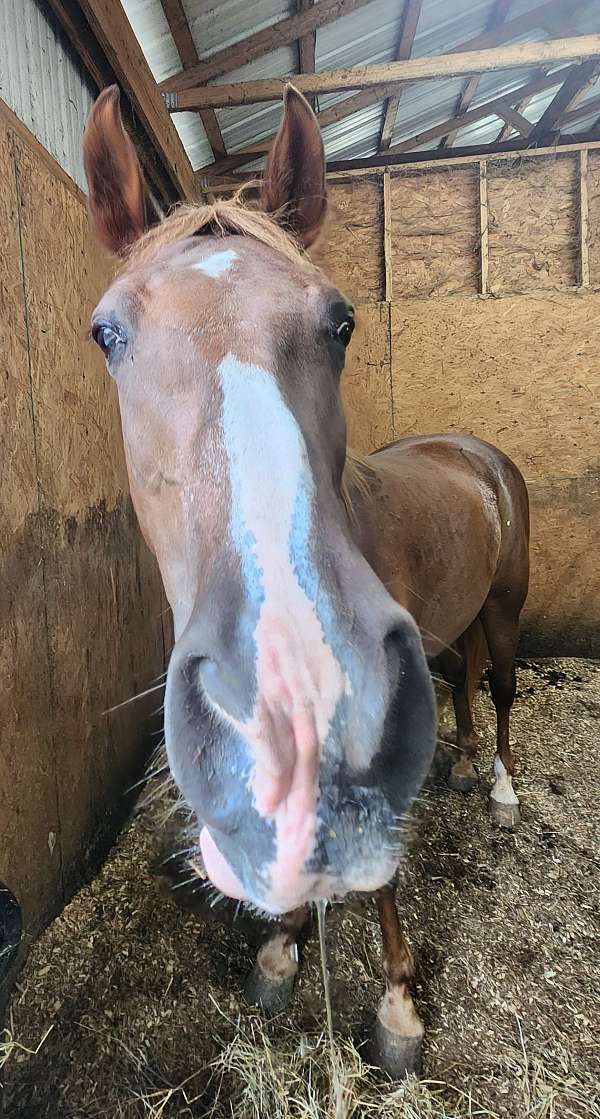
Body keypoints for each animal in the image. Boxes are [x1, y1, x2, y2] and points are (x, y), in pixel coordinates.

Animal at [82, 83, 529, 1077]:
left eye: (341, 321)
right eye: (107, 332)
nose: (285, 673)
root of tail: (474, 449)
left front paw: (398, 1005)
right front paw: (283, 944)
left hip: (508, 605)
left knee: (504, 689)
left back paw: (503, 788)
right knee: (465, 678)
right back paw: (462, 758)